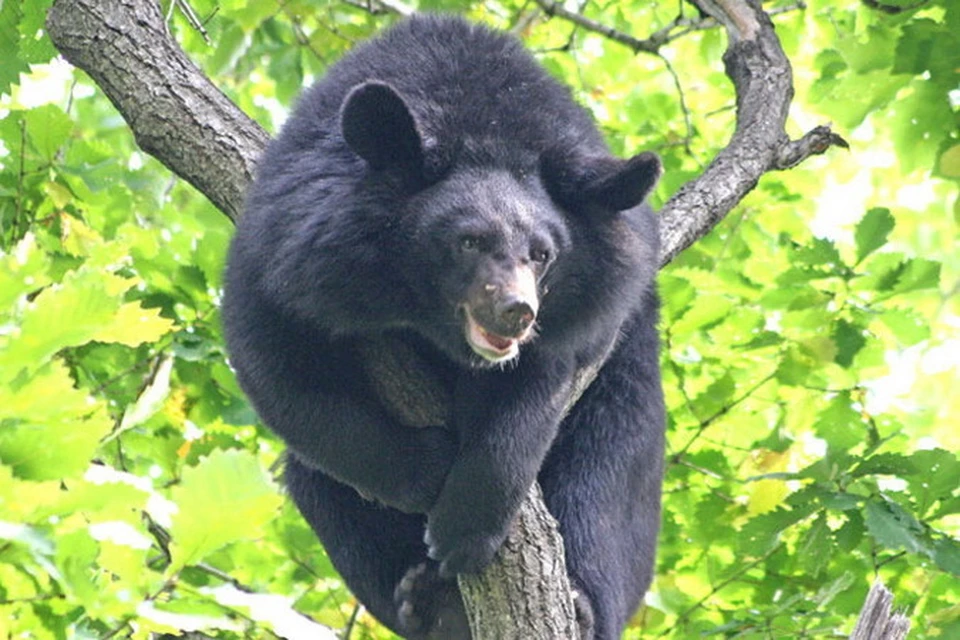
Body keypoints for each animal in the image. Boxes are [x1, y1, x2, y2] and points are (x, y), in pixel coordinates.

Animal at [222, 13, 664, 640]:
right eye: (468, 241)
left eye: (543, 254)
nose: (517, 311)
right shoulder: (287, 245)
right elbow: (282, 368)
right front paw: (428, 470)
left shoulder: (588, 309)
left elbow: (539, 395)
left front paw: (465, 524)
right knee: (319, 486)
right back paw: (426, 599)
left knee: (607, 477)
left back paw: (576, 603)